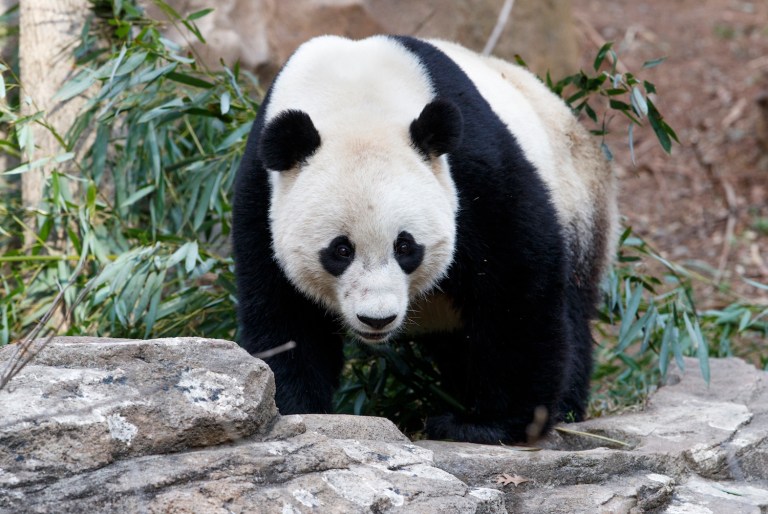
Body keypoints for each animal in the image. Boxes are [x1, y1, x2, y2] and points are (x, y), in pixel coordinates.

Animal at [233, 35, 618, 444]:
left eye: (405, 246)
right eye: (340, 250)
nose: (376, 319)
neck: (354, 98)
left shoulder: (472, 169)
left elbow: (515, 279)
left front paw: (491, 424)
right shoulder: (262, 193)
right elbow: (283, 311)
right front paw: (297, 410)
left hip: (576, 198)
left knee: (571, 308)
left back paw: (561, 407)